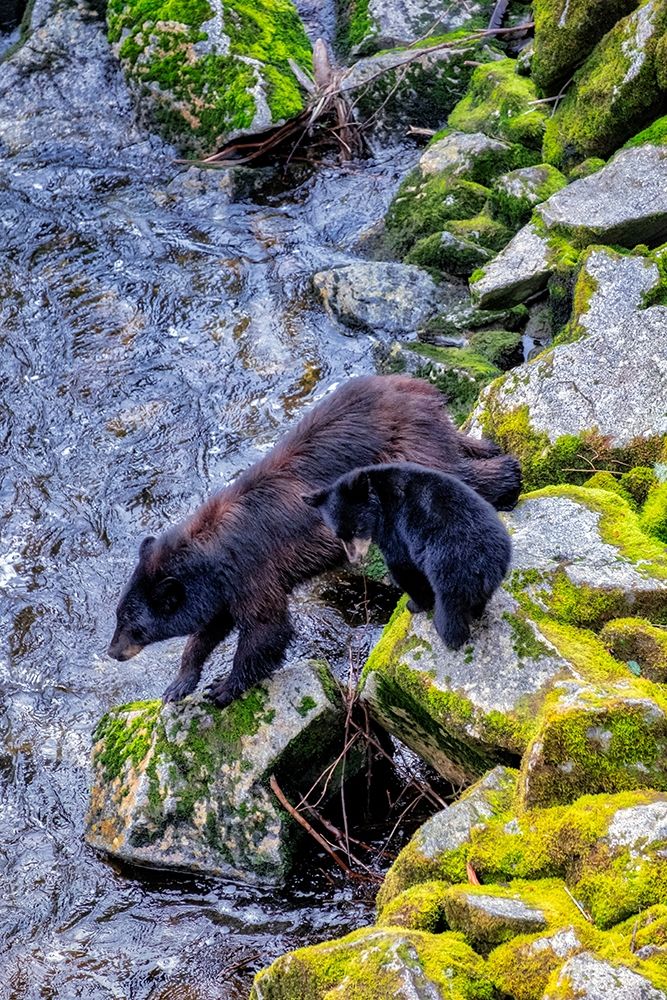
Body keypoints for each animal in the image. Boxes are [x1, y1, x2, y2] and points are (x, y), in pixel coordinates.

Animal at [304, 463, 512, 650]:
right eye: (339, 535)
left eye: (358, 529)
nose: (355, 558)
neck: (380, 499)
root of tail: (485, 564)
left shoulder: (396, 528)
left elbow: (403, 567)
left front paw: (414, 604)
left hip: (449, 571)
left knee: (449, 610)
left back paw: (448, 635)